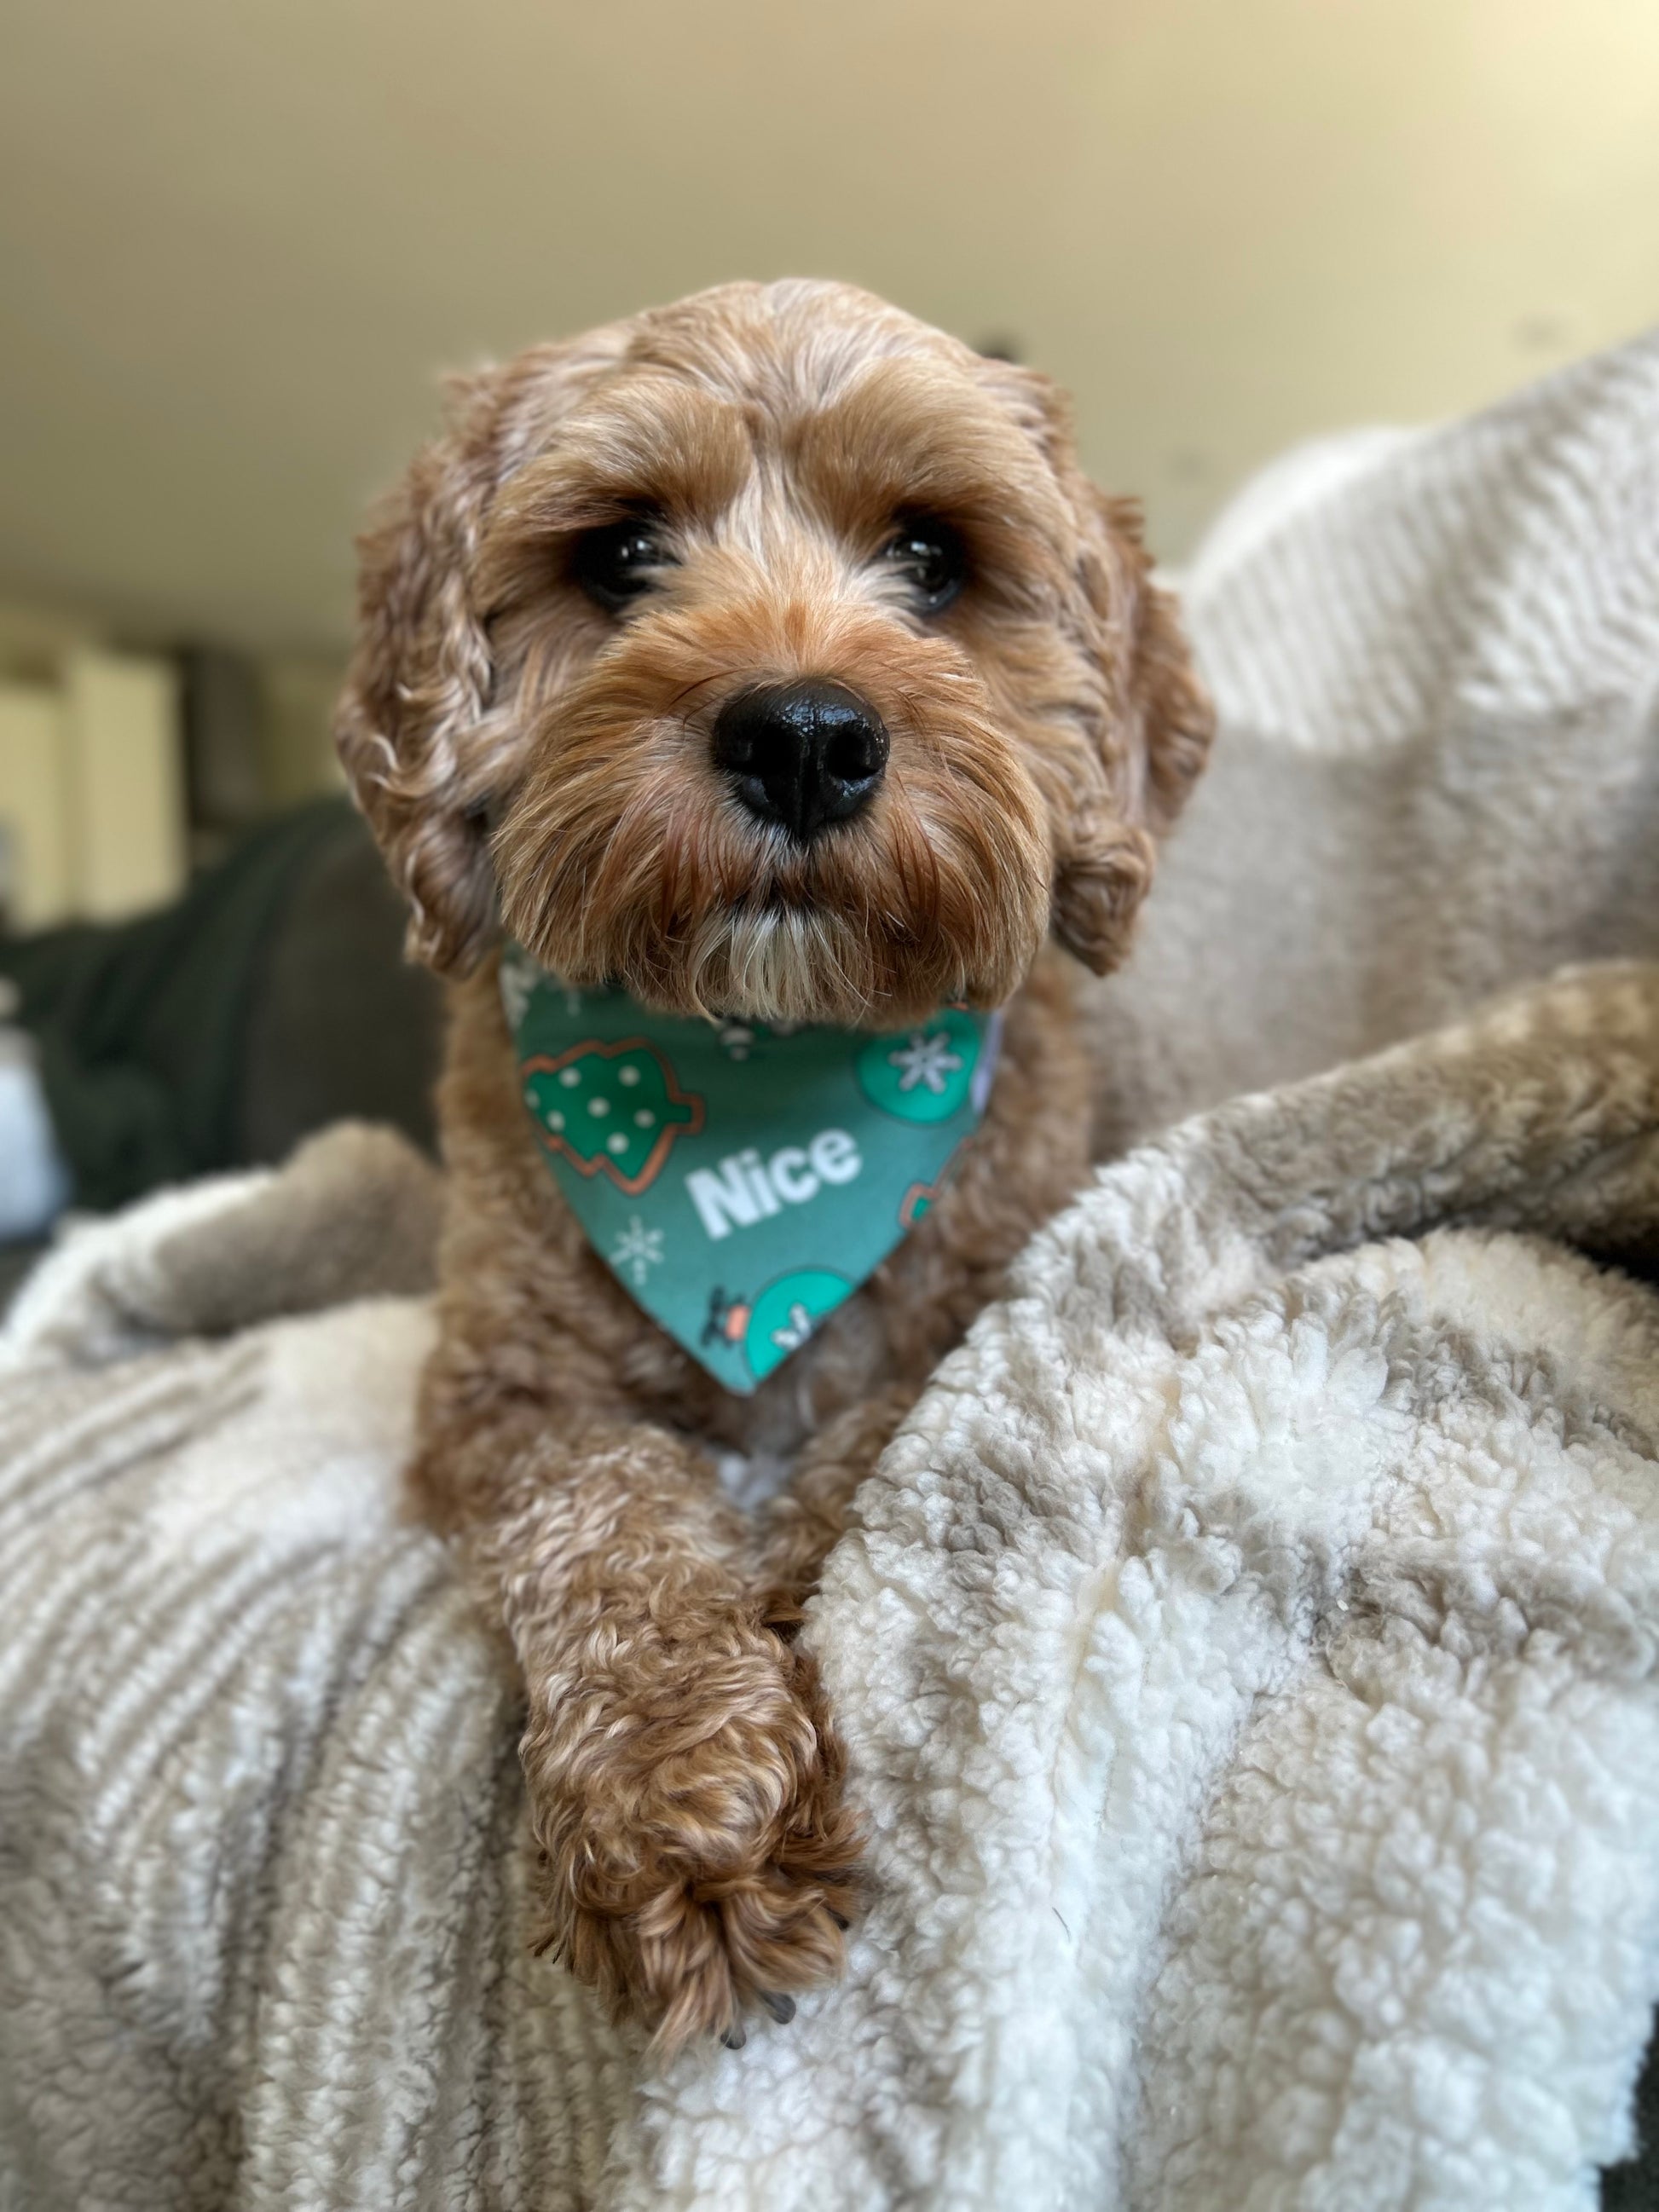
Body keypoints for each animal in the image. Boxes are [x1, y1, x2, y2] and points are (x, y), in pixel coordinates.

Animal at [338, 280, 1211, 2053]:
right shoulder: (504, 1399)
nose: (803, 735)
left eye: (934, 556)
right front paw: (690, 1809)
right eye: (619, 552)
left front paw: (803, 1600)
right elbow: (609, 1531)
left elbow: (882, 1445)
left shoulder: (978, 1305)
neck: (757, 1072)